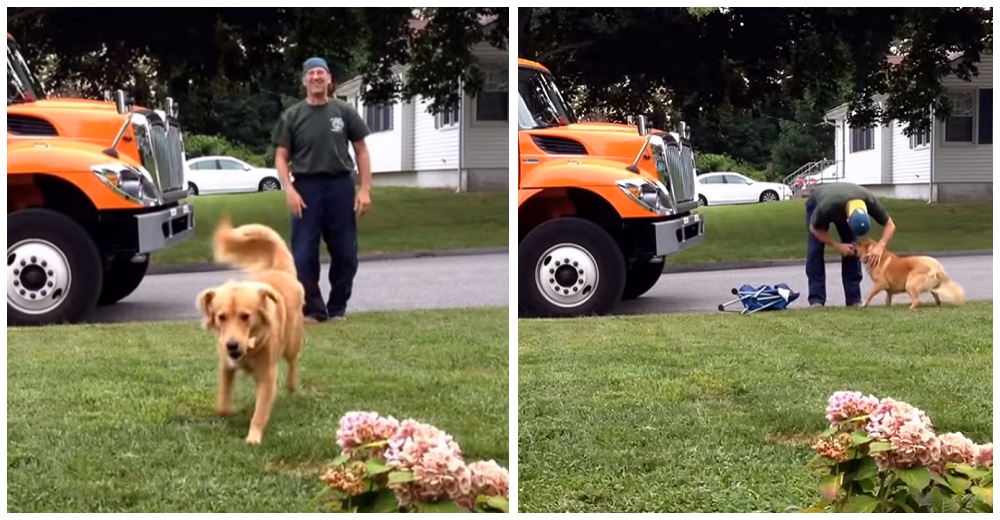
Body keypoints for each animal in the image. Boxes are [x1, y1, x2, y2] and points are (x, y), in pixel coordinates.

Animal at [194, 215, 304, 442]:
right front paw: (230, 410)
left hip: (292, 342)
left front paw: (253, 437)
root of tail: (280, 270)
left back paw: (292, 387)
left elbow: (260, 411)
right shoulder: (226, 366)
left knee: (293, 362)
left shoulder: (268, 374)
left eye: (246, 316)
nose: (232, 345)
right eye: (221, 317)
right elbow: (222, 402)